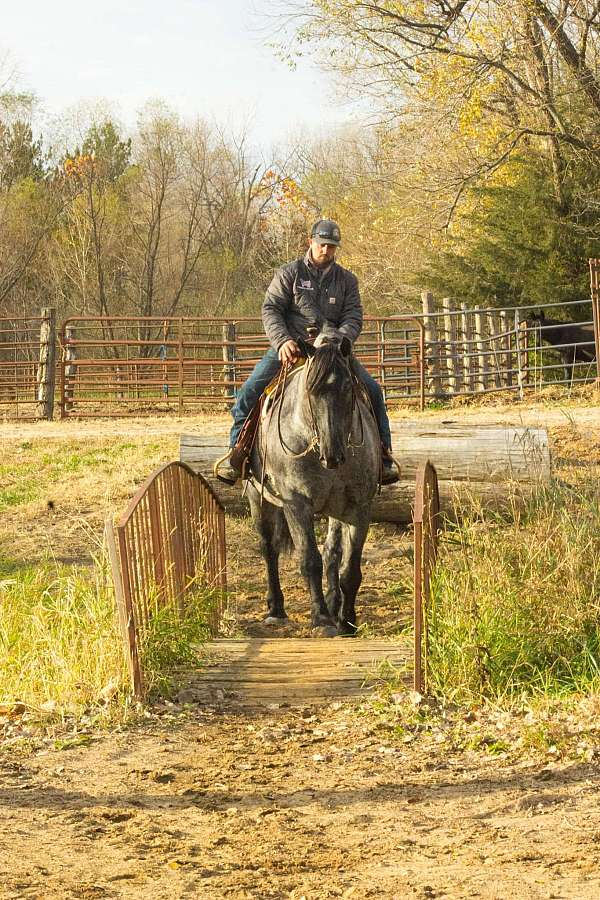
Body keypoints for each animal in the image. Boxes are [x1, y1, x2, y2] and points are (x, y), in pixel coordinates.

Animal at [247, 328, 380, 632]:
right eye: (310, 389)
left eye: (348, 388)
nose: (333, 454)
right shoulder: (296, 504)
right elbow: (309, 560)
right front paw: (320, 619)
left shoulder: (359, 507)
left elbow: (348, 567)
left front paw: (346, 621)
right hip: (258, 499)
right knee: (268, 548)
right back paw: (276, 607)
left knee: (332, 551)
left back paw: (333, 603)